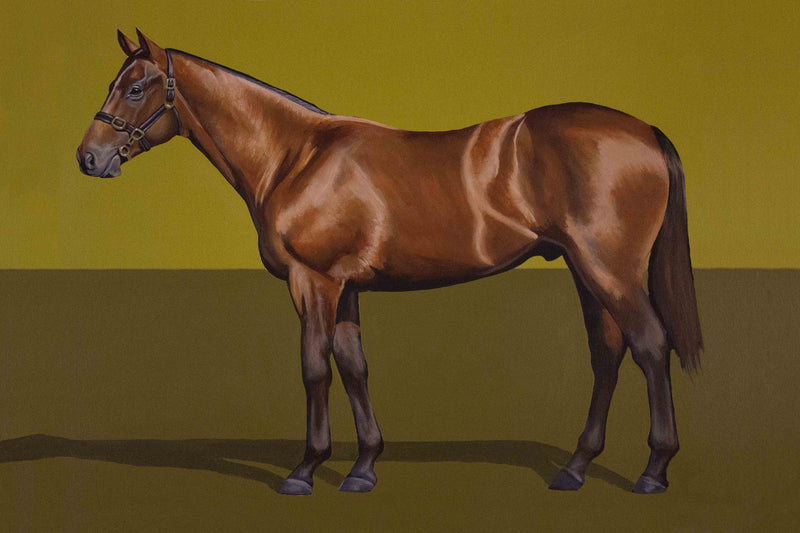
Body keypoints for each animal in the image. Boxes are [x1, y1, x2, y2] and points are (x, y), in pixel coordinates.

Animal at [77, 30, 703, 496]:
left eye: (136, 88)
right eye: (115, 83)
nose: (89, 157)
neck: (296, 156)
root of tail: (644, 131)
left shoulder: (314, 282)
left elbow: (315, 368)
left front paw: (305, 469)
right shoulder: (347, 287)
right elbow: (354, 366)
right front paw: (362, 468)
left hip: (609, 270)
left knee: (650, 345)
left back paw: (653, 471)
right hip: (584, 271)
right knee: (607, 353)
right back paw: (575, 467)